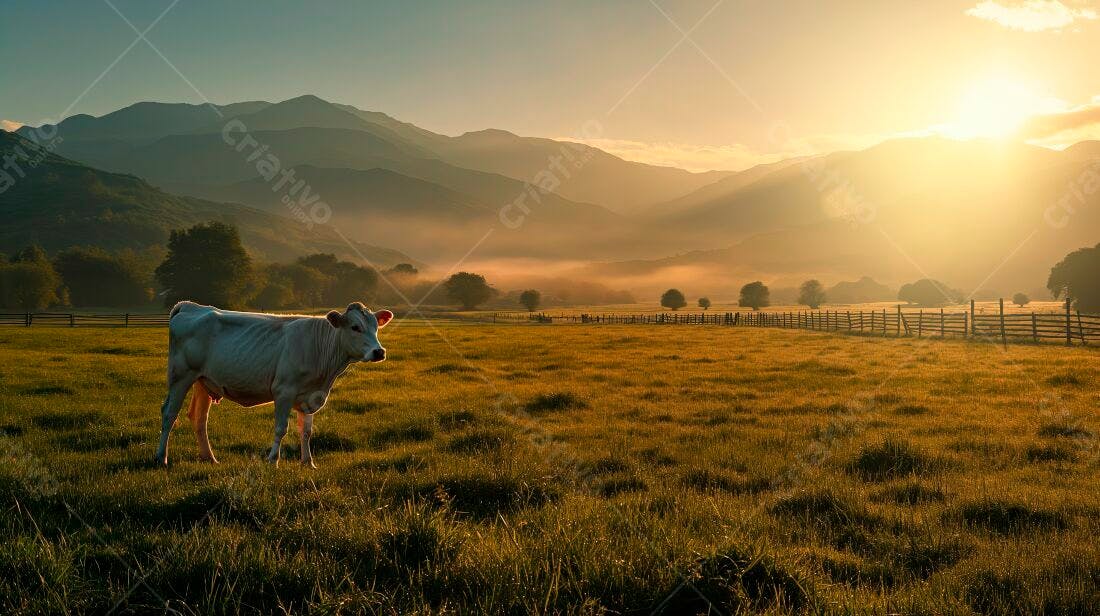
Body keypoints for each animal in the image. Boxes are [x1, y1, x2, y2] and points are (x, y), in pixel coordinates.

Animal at [154, 301, 393, 467]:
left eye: (376, 327)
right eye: (355, 327)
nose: (379, 352)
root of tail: (190, 306)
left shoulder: (311, 396)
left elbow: (306, 431)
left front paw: (308, 463)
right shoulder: (284, 391)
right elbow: (281, 428)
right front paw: (272, 460)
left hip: (203, 381)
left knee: (199, 417)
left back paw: (209, 458)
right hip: (180, 376)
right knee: (169, 413)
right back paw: (161, 458)